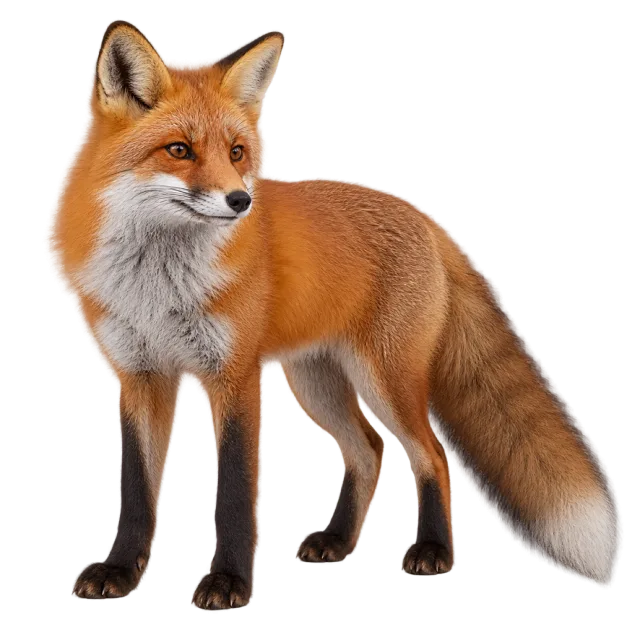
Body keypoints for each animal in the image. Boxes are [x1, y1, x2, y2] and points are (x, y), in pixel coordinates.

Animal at [46, 20, 623, 609]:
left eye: (237, 152)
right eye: (179, 150)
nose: (239, 202)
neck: (159, 286)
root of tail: (422, 214)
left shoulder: (234, 376)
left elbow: (234, 495)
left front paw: (228, 583)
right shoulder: (139, 376)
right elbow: (137, 493)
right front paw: (120, 572)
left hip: (384, 379)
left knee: (433, 457)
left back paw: (433, 551)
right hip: (316, 381)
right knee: (368, 451)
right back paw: (341, 542)